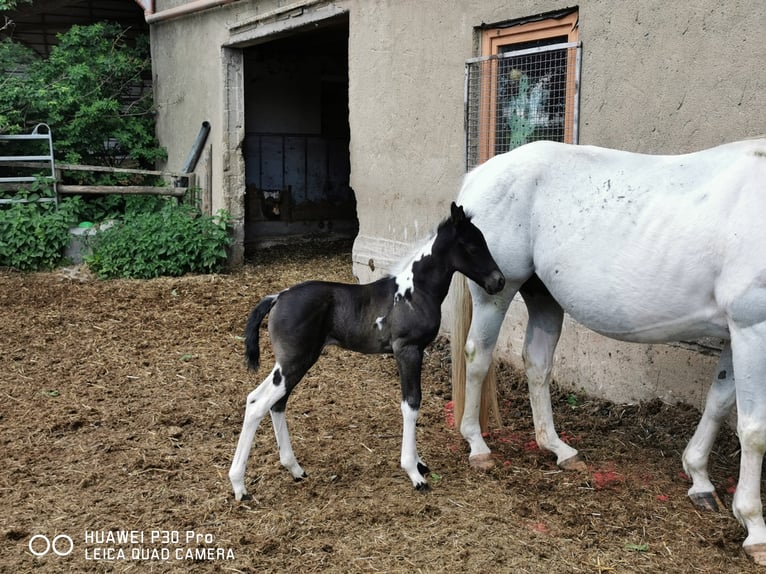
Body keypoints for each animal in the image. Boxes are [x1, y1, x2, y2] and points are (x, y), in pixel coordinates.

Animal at [228, 205, 504, 502]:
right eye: (471, 245)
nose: (498, 281)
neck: (414, 292)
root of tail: (278, 296)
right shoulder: (407, 350)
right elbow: (411, 403)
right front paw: (414, 472)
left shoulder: (414, 352)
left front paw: (419, 463)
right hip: (295, 362)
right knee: (258, 404)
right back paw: (239, 485)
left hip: (289, 363)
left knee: (270, 401)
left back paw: (295, 469)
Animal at [452, 141, 766, 568]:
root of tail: (481, 174)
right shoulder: (753, 328)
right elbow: (753, 430)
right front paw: (754, 528)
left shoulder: (737, 334)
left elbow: (718, 402)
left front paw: (699, 477)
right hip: (495, 293)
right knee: (478, 358)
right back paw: (478, 447)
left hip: (542, 295)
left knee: (538, 364)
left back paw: (559, 449)